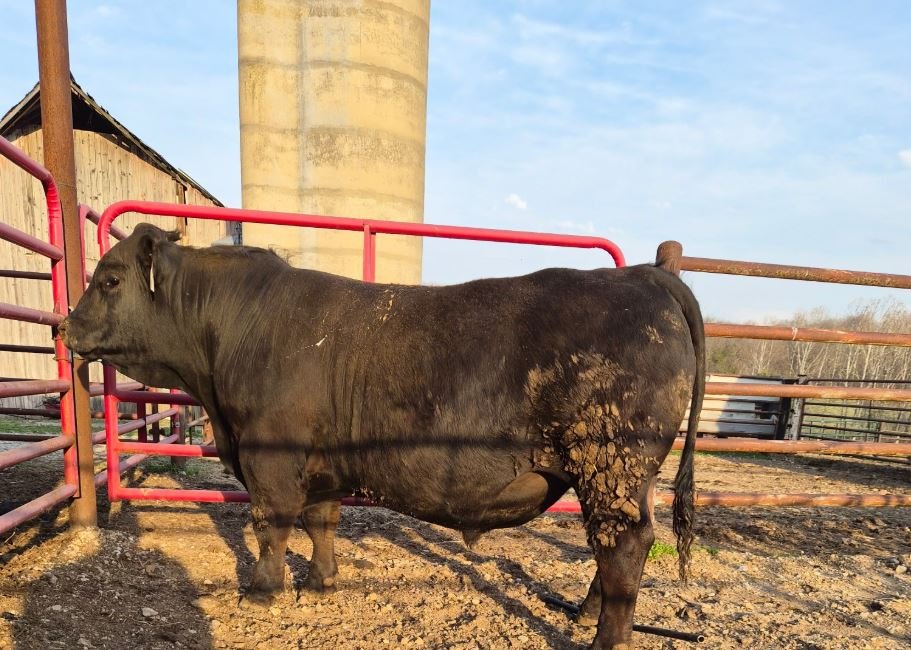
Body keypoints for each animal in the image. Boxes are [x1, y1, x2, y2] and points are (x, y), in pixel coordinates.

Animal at [60, 223, 704, 649]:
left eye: (110, 278)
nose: (64, 326)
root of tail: (643, 276)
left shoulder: (270, 456)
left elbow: (271, 524)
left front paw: (261, 591)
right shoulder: (321, 462)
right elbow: (320, 521)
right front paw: (321, 583)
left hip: (611, 460)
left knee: (622, 544)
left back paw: (605, 638)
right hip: (619, 474)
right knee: (619, 543)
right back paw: (584, 612)